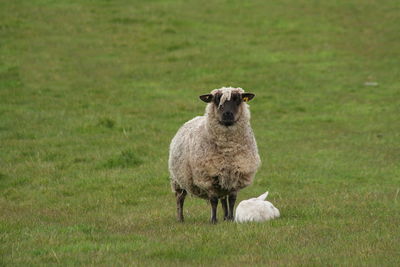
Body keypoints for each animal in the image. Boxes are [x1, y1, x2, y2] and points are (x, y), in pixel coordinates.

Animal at [168, 86, 260, 224]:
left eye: (237, 99)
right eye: (216, 100)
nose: (227, 114)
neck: (228, 150)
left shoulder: (236, 174)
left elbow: (231, 199)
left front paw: (231, 219)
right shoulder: (208, 177)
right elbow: (213, 200)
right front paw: (213, 221)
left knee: (223, 199)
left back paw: (226, 217)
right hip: (178, 179)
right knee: (180, 198)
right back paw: (180, 219)